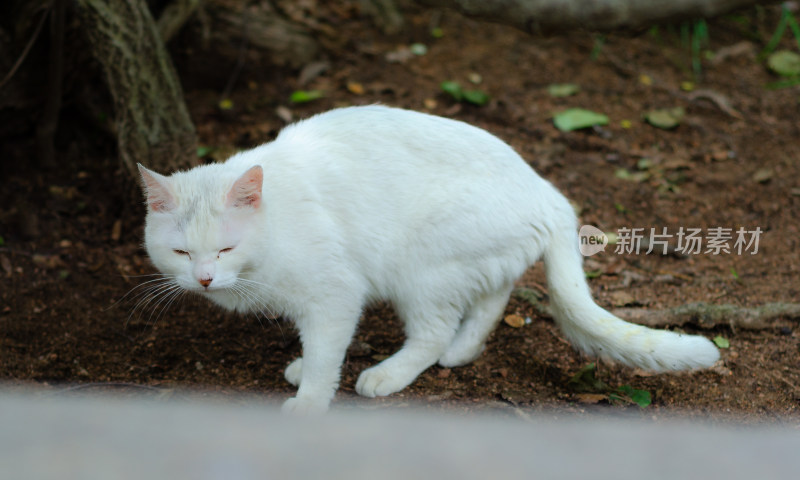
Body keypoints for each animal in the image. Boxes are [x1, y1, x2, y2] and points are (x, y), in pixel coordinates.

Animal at [138, 105, 720, 412]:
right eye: (182, 252)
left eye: (226, 248)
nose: (205, 279)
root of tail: (547, 191)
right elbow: (318, 348)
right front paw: (304, 370)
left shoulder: (336, 295)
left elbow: (327, 352)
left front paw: (310, 399)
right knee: (491, 298)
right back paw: (464, 351)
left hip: (421, 269)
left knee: (434, 332)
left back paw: (389, 374)